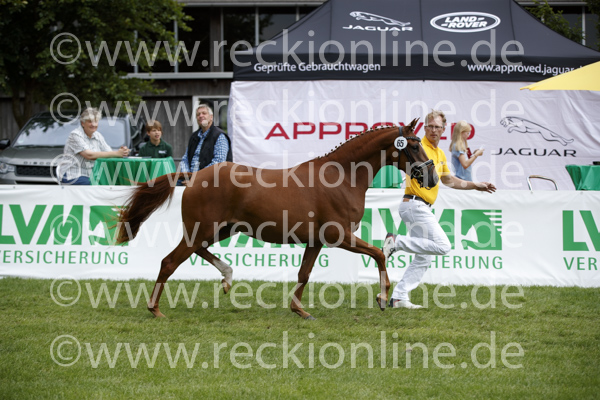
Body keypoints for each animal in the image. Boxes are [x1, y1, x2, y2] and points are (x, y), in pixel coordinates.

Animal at [116, 118, 438, 319]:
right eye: (412, 145)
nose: (433, 178)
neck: (341, 177)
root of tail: (194, 176)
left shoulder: (316, 241)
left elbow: (304, 274)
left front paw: (300, 311)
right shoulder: (339, 237)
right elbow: (378, 254)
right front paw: (382, 299)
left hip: (220, 230)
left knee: (198, 252)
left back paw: (227, 277)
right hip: (202, 230)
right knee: (169, 262)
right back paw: (156, 309)